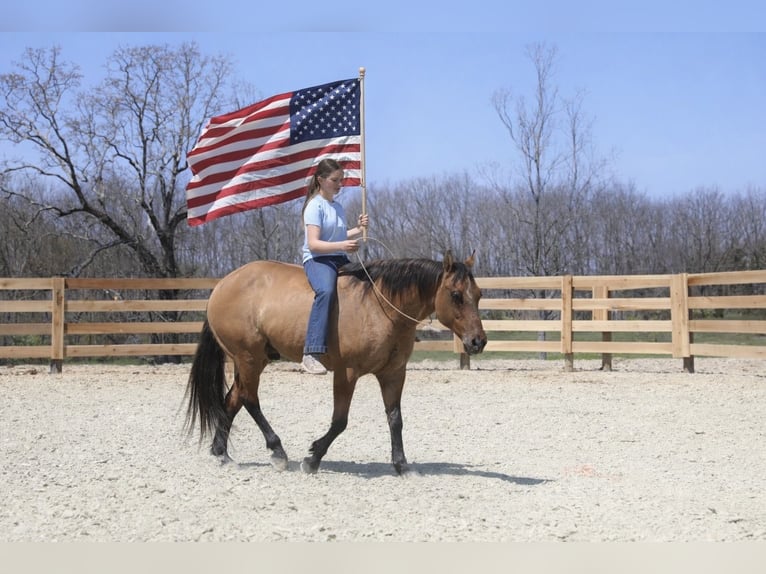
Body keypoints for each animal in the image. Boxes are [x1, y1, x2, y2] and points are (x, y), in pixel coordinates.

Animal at [184, 251, 487, 475]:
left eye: (479, 294)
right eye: (456, 295)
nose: (478, 342)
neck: (381, 308)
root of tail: (222, 285)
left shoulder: (393, 374)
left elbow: (395, 419)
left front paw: (402, 466)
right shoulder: (346, 373)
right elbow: (340, 421)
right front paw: (312, 459)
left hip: (248, 360)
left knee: (232, 399)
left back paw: (222, 454)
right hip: (249, 358)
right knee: (249, 399)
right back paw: (278, 452)